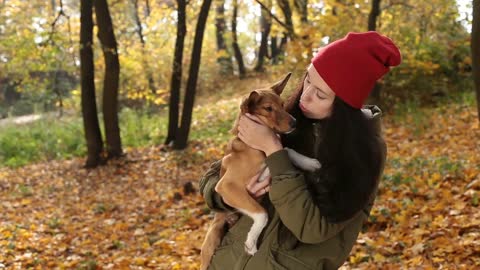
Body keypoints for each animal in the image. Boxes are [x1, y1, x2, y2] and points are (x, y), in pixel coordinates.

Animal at [201, 74, 320, 270]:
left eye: (282, 104)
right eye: (268, 108)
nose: (295, 122)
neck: (255, 147)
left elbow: (287, 150)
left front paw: (309, 162)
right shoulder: (226, 186)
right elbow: (262, 214)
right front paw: (251, 242)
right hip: (211, 241)